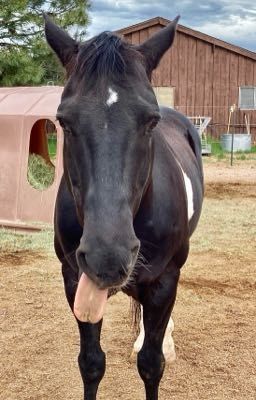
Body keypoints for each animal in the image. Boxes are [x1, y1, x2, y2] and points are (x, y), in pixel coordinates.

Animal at [44, 15, 204, 400]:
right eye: (64, 121)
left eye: (151, 120)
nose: (107, 257)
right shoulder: (75, 278)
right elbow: (91, 363)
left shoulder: (164, 281)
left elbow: (151, 364)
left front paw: (158, 348)